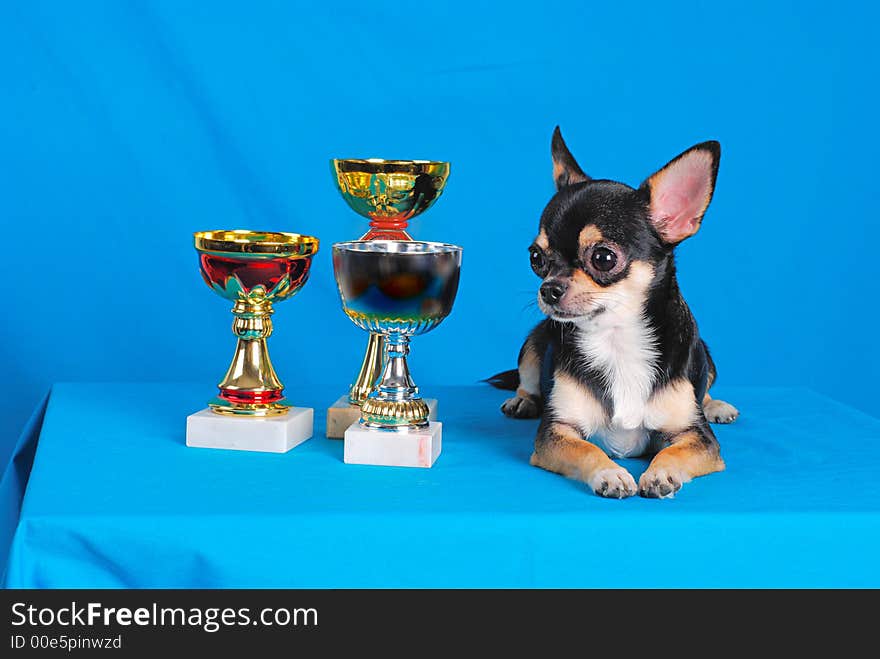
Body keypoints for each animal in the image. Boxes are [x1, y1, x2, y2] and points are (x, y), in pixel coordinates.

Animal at [492, 129, 740, 500]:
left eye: (604, 258)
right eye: (536, 258)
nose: (548, 288)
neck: (616, 339)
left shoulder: (699, 438)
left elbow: (673, 450)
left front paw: (661, 472)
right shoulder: (557, 431)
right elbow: (587, 449)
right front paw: (610, 473)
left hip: (705, 356)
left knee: (705, 388)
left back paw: (716, 404)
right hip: (533, 344)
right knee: (527, 380)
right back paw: (522, 400)